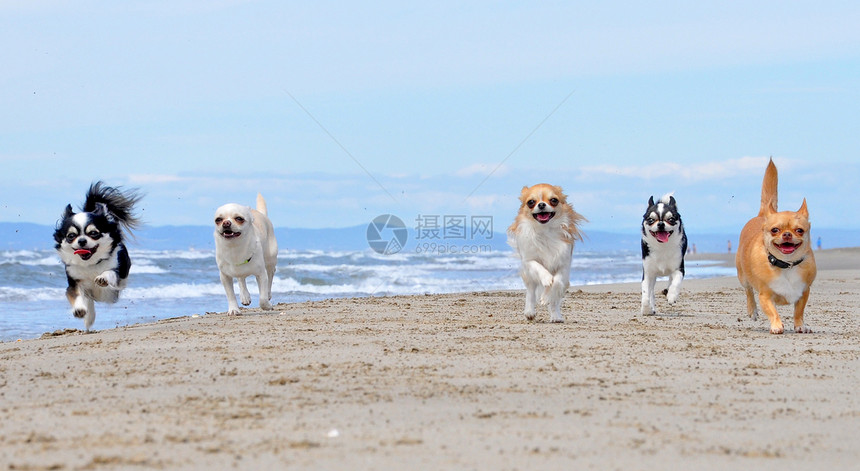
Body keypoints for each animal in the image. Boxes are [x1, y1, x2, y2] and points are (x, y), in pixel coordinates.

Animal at [53, 182, 141, 332]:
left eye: (93, 233)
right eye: (71, 236)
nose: (82, 240)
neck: (90, 264)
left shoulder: (116, 277)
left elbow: (109, 273)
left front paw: (102, 278)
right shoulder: (74, 283)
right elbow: (78, 295)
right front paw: (79, 309)